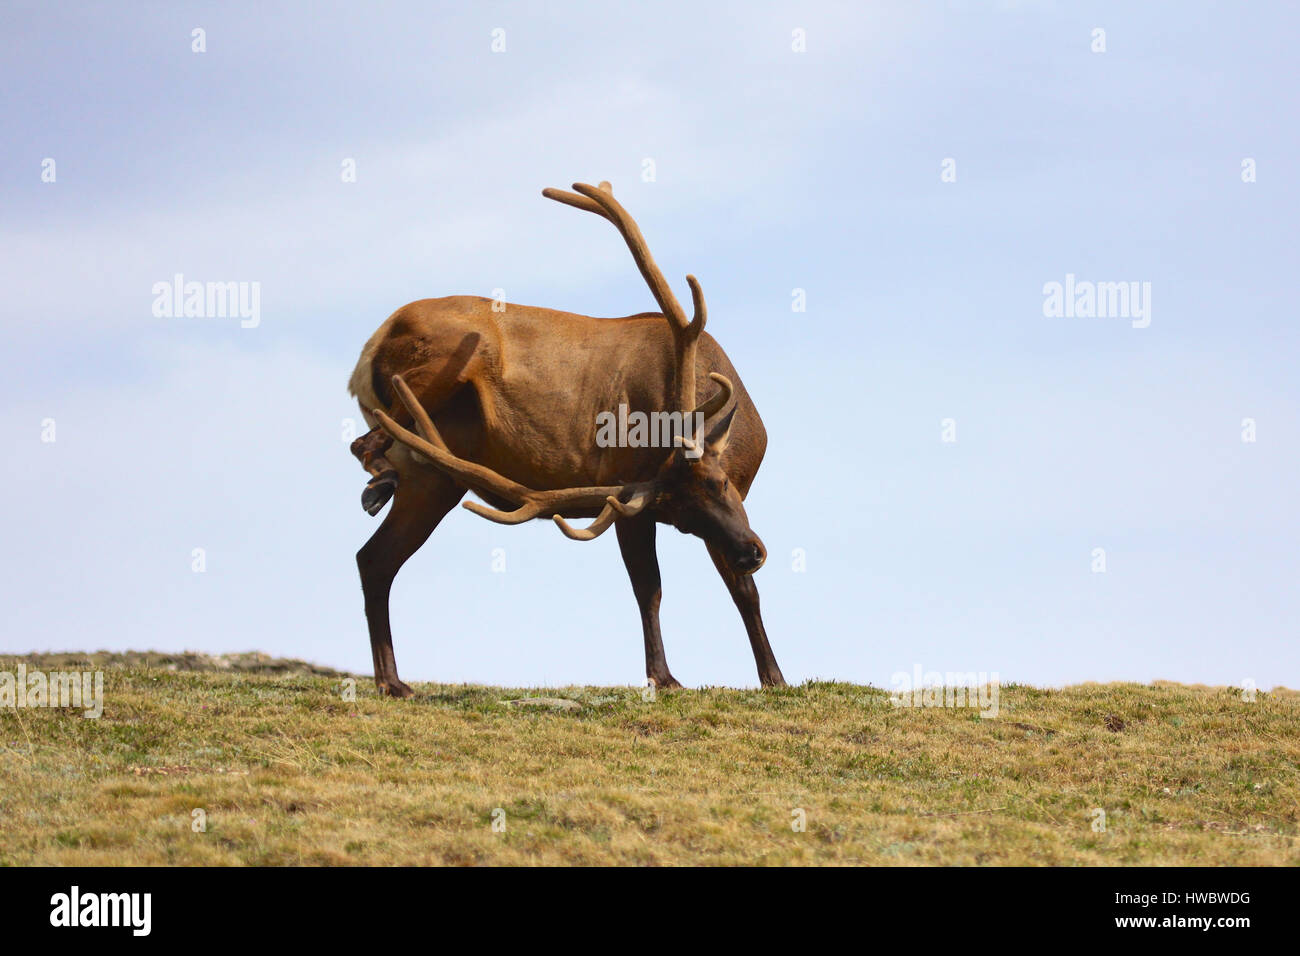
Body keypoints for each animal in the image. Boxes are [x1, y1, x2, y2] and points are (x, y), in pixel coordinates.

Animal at [347, 180, 786, 697]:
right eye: (680, 518)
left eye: (719, 485)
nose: (752, 552)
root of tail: (373, 342)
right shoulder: (630, 498)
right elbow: (650, 588)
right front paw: (663, 677)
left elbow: (743, 593)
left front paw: (774, 677)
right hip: (447, 368)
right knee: (366, 446)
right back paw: (378, 484)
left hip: (434, 480)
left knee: (374, 557)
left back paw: (392, 680)